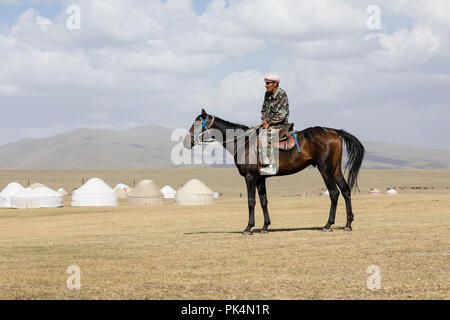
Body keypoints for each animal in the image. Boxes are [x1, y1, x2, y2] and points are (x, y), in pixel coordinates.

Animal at [185, 109, 364, 234]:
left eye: (197, 124)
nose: (187, 142)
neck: (243, 143)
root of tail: (334, 131)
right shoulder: (260, 179)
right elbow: (264, 201)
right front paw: (265, 227)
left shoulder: (250, 178)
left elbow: (251, 201)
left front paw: (248, 227)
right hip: (335, 169)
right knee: (345, 190)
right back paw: (348, 224)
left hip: (325, 169)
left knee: (334, 193)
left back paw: (328, 224)